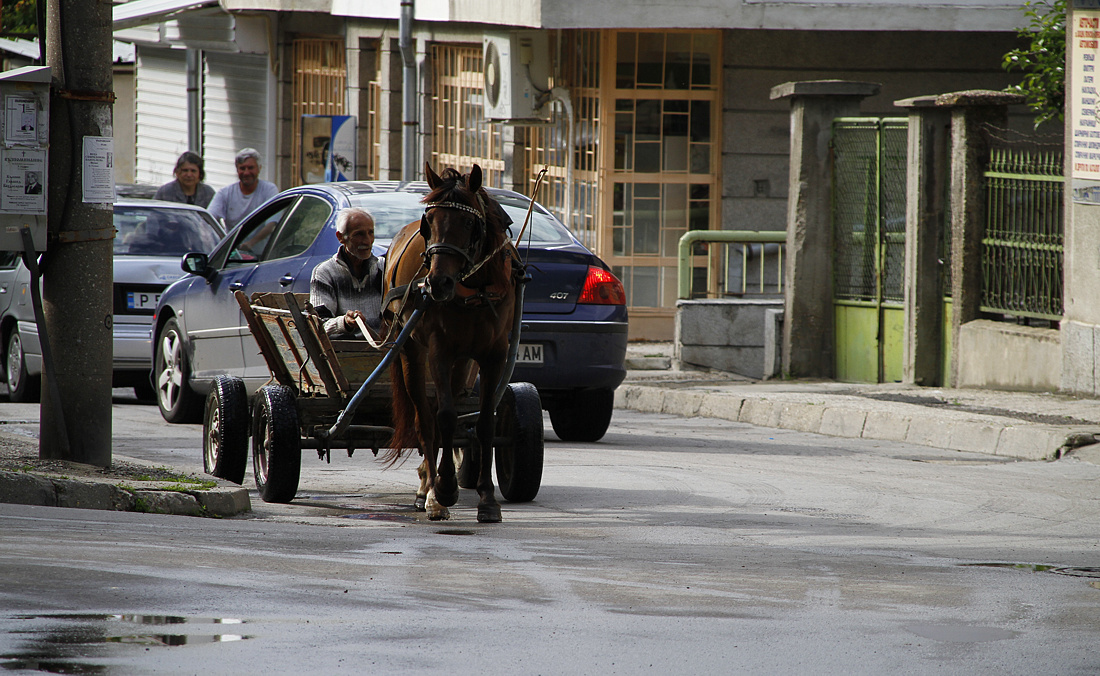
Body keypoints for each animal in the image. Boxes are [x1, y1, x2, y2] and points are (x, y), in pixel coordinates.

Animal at [382, 163, 519, 523]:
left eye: (470, 223)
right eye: (429, 222)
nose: (437, 283)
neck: (474, 288)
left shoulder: (494, 356)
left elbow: (485, 422)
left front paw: (488, 498)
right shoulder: (439, 352)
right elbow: (442, 417)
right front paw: (443, 490)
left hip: (462, 363)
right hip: (412, 352)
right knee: (425, 419)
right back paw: (429, 491)